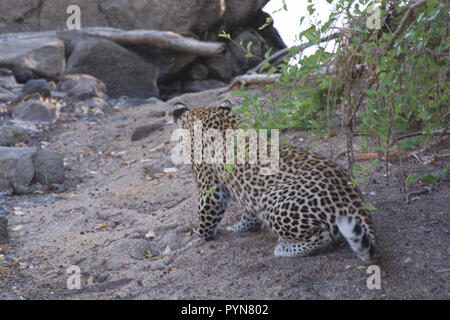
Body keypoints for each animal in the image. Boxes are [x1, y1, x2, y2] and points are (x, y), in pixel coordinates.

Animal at [173, 102, 384, 262]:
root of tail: (350, 196)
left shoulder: (210, 189)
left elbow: (205, 218)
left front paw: (197, 239)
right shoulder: (252, 194)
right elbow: (249, 215)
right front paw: (240, 228)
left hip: (274, 200)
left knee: (322, 235)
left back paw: (284, 249)